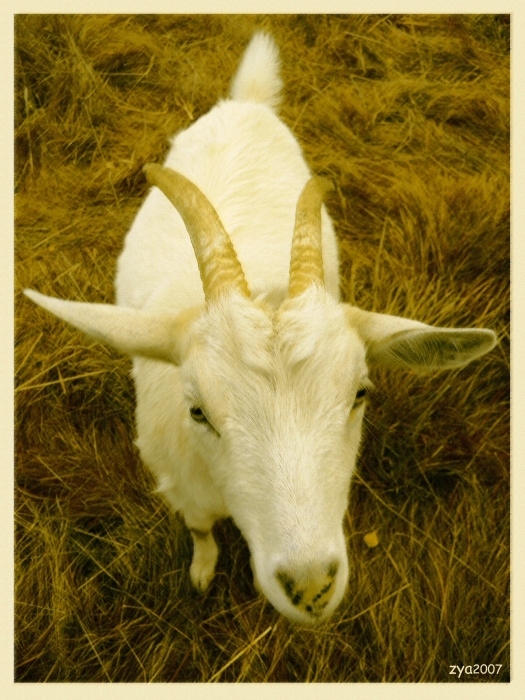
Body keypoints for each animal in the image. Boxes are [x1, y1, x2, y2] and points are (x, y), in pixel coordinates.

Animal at [24, 32, 497, 626]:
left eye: (360, 393)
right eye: (197, 410)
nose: (311, 586)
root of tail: (244, 102)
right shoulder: (182, 488)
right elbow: (200, 531)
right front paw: (202, 572)